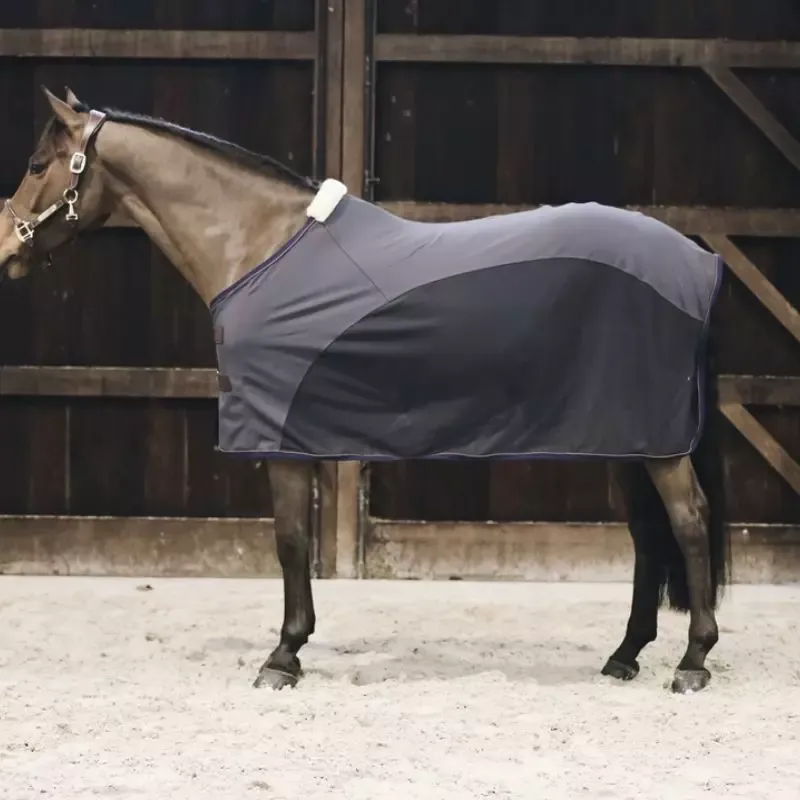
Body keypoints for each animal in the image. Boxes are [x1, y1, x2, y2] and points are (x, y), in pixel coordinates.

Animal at [0, 86, 730, 694]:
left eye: (37, 165)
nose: (6, 248)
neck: (263, 248)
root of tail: (698, 258)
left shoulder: (280, 436)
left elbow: (290, 540)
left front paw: (283, 656)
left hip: (657, 441)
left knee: (689, 521)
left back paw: (693, 660)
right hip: (626, 433)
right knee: (647, 534)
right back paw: (625, 654)